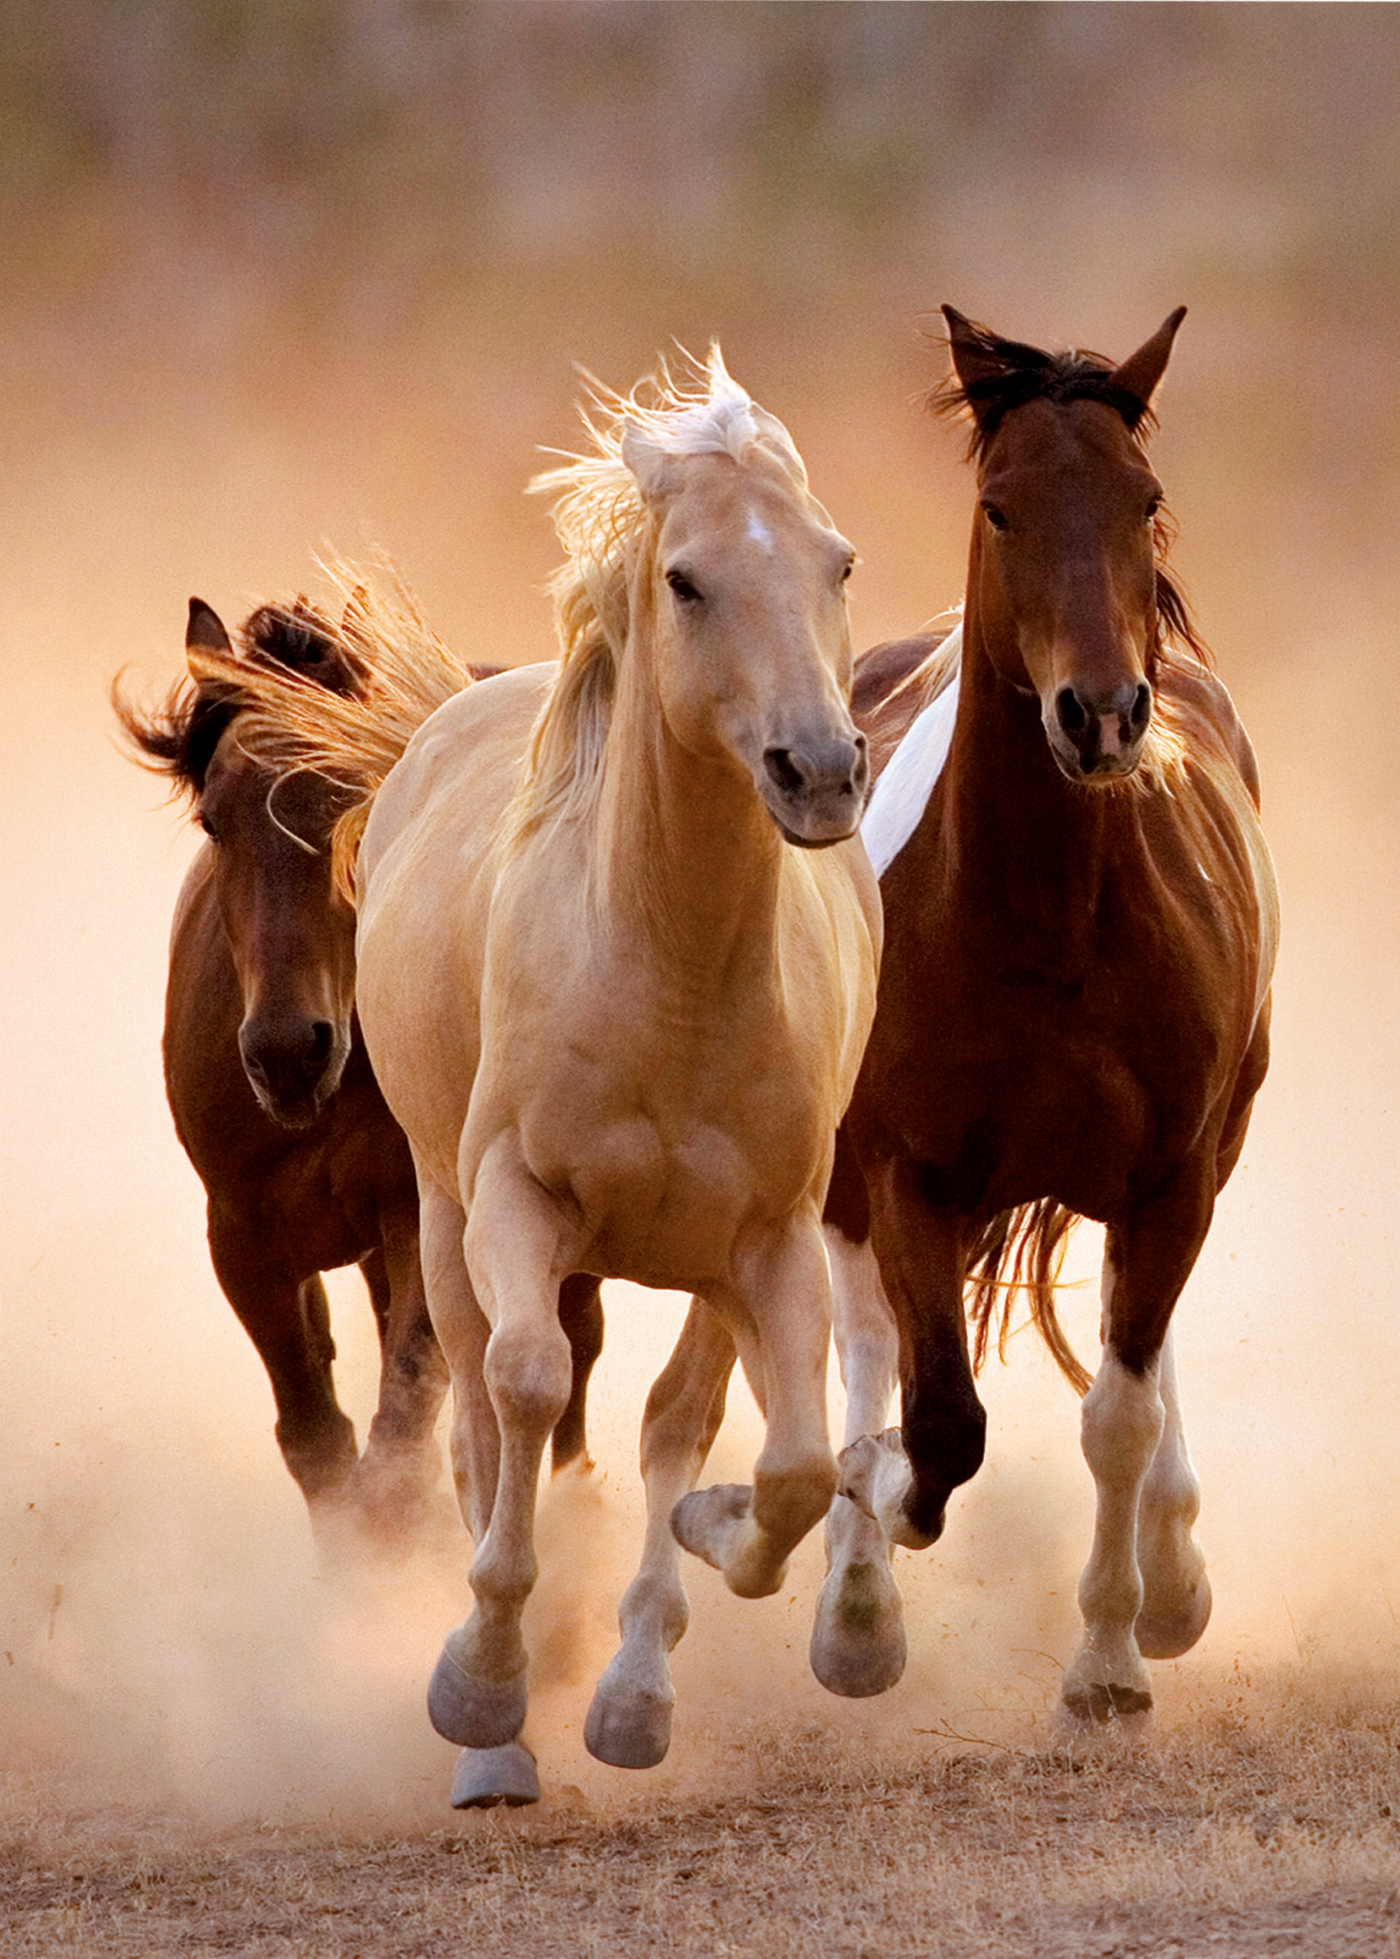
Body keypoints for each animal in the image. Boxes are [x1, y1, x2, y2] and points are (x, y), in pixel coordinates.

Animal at [115, 593, 605, 1553]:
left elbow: (402, 1427)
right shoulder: (244, 1240)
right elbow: (318, 1441)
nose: (285, 1051)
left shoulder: (421, 1213)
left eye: (355, 798)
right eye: (214, 819)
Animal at [228, 351, 881, 1806]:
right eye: (686, 579)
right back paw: (499, 1737)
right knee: (480, 1414)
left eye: (838, 561)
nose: (819, 771)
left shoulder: (767, 1240)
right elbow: (521, 1392)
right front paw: (480, 1685)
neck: (666, 969)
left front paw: (688, 1592)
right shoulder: (514, 1204)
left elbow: (776, 1460)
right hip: (437, 1216)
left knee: (673, 1418)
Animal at [833, 308, 1280, 1741]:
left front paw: (1112, 1656)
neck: (1048, 925)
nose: (1098, 714)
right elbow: (936, 1423)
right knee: (865, 1344)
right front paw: (868, 1508)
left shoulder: (1169, 1178)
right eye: (999, 505)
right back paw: (849, 1604)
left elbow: (1117, 1417)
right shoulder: (905, 1171)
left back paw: (1172, 1574)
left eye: (1141, 498)